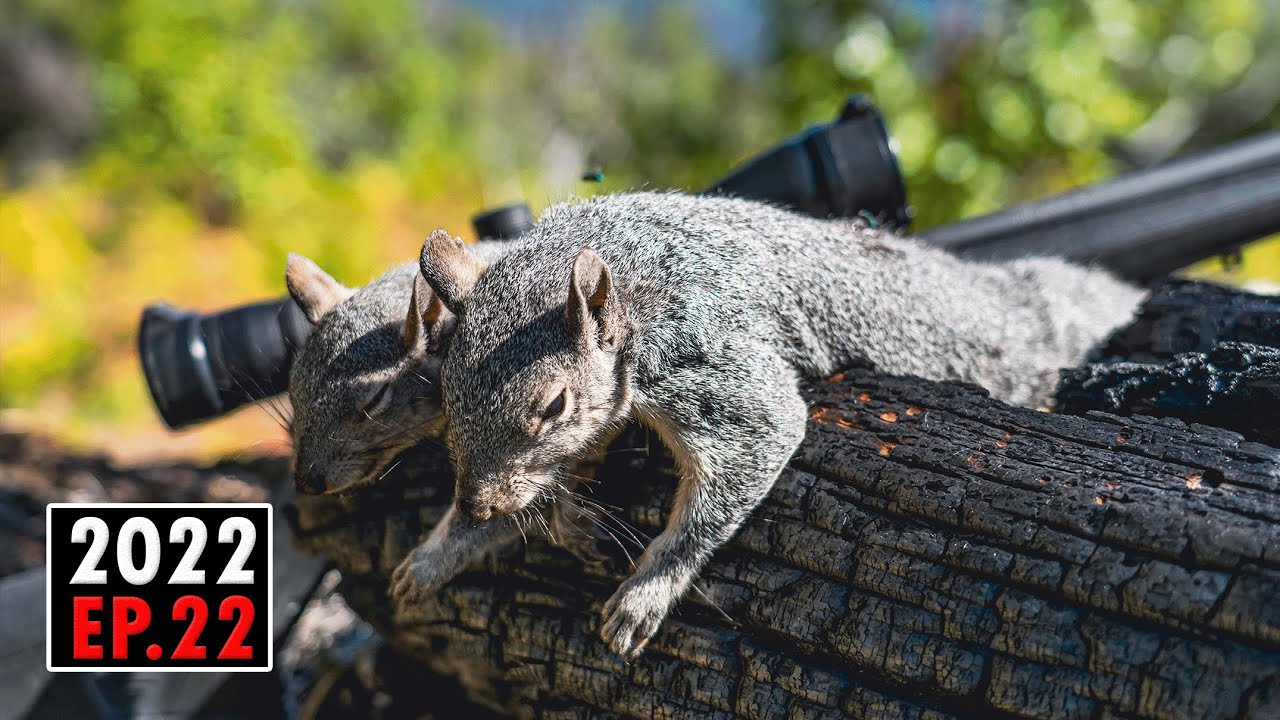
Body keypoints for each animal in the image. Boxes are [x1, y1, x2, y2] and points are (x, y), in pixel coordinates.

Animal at [390, 191, 1147, 659]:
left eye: (554, 406)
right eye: (445, 386)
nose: (474, 501)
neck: (627, 277)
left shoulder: (705, 360)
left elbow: (753, 447)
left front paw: (646, 592)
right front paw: (438, 552)